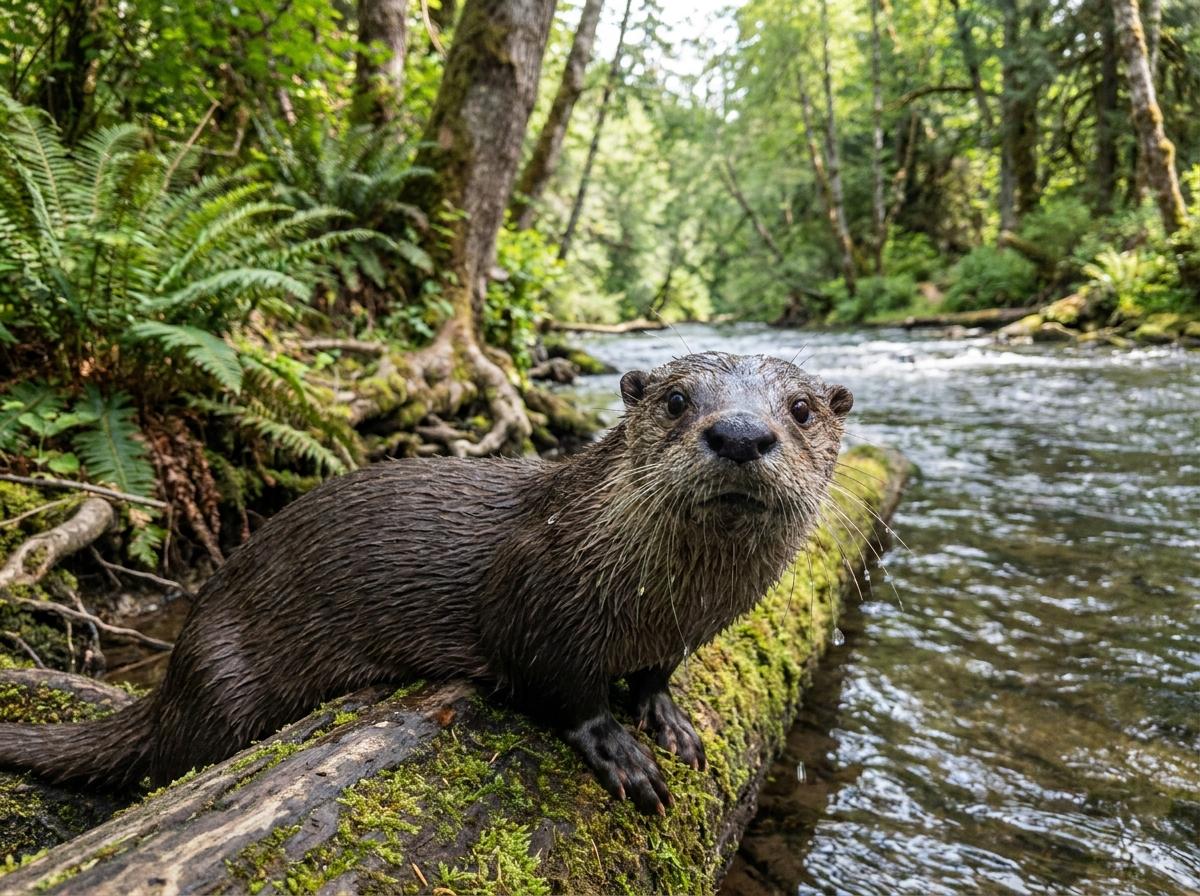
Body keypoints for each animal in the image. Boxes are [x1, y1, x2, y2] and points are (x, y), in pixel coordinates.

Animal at [0, 352, 852, 815]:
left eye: (802, 409)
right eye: (677, 401)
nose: (740, 432)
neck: (667, 603)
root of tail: (172, 676)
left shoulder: (680, 634)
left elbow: (655, 675)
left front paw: (665, 719)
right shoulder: (537, 595)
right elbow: (559, 686)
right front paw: (619, 750)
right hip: (224, 677)